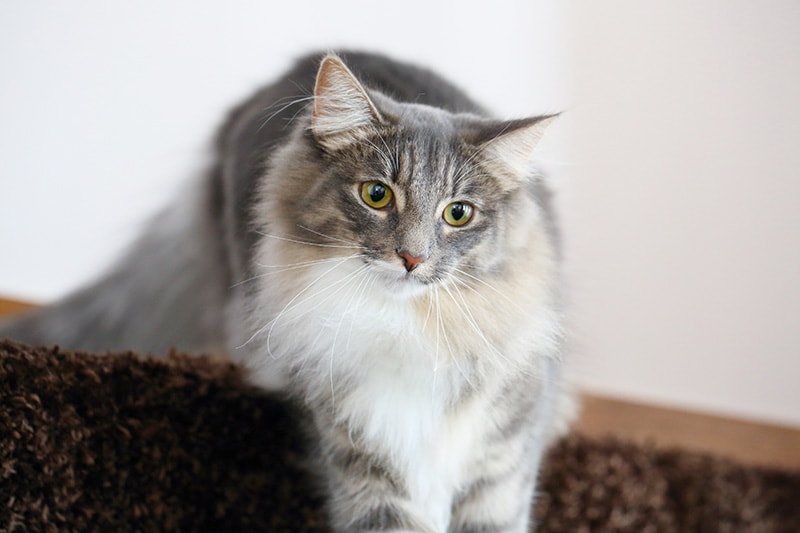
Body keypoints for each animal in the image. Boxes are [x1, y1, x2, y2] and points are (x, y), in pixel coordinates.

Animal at [3, 51, 572, 532]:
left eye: (458, 214)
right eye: (377, 194)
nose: (412, 259)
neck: (408, 329)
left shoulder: (502, 462)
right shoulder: (359, 452)